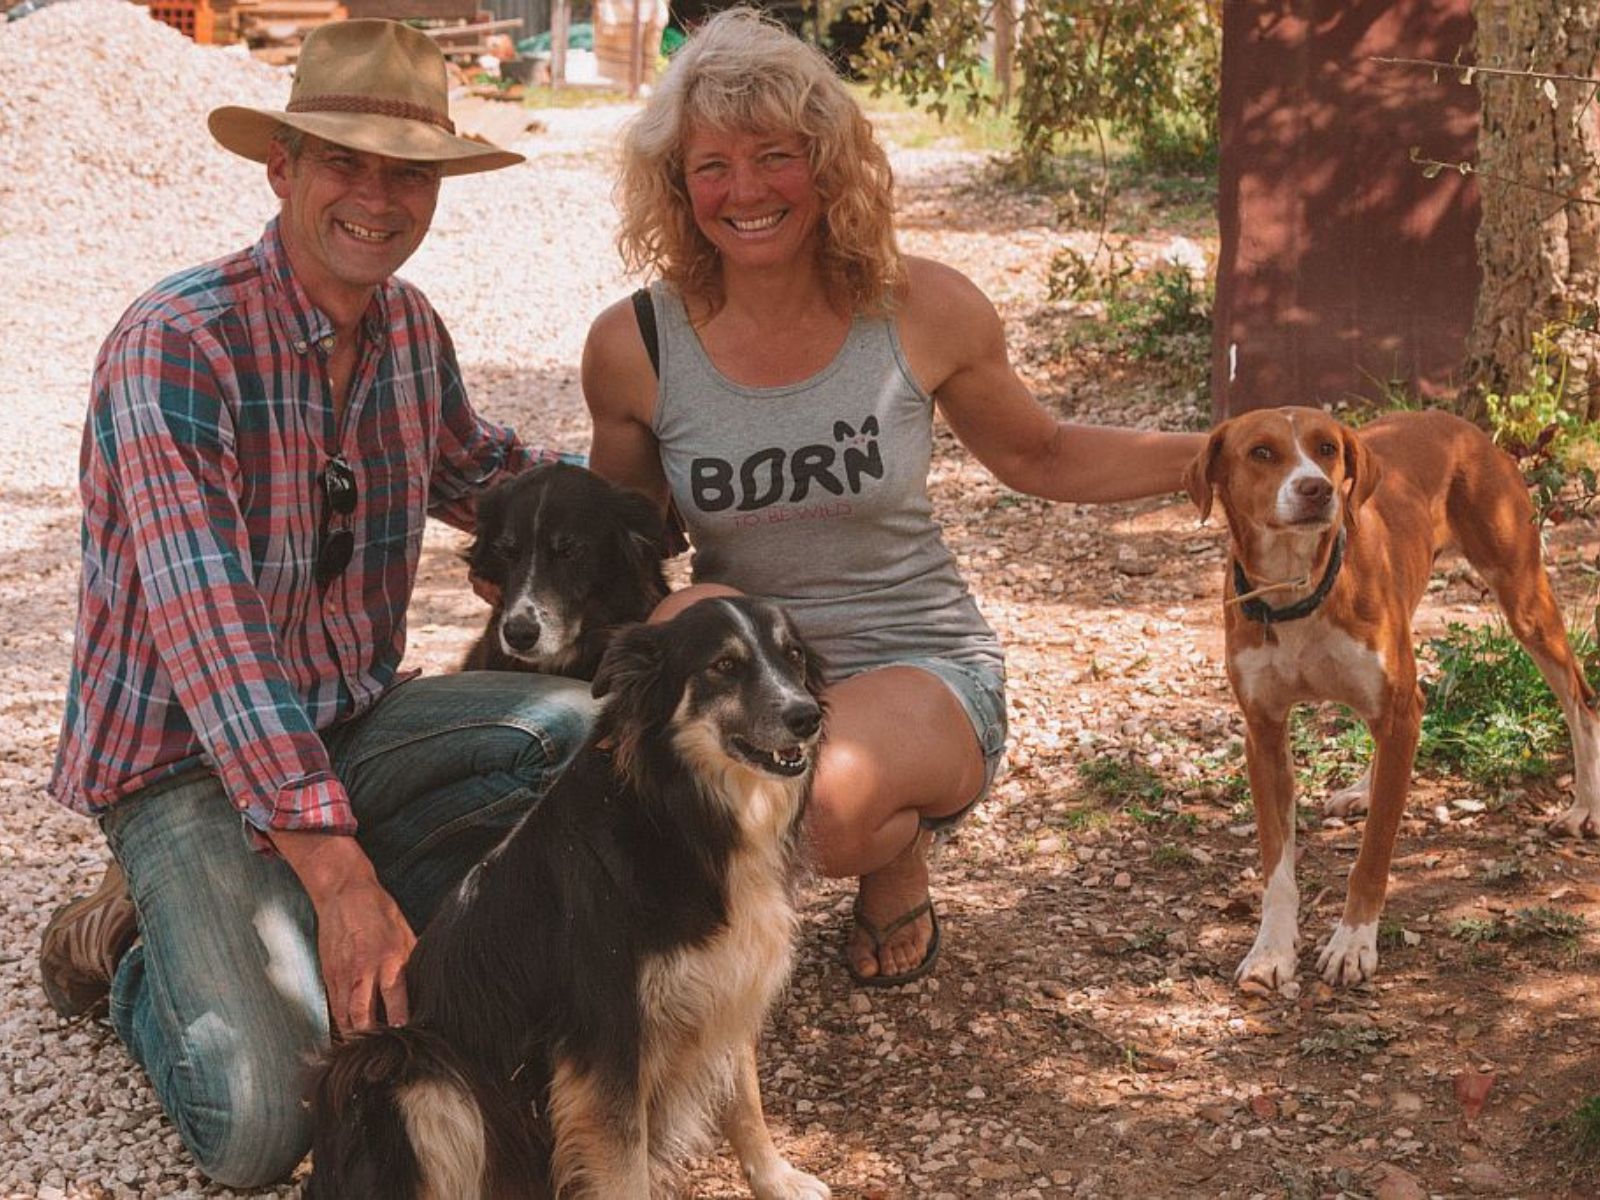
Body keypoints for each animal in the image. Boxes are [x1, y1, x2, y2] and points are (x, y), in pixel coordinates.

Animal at [306, 596, 833, 1200]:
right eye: (724, 665)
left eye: (794, 656)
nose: (806, 716)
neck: (677, 817)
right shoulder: (606, 1039)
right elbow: (623, 1167)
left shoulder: (733, 978)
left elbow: (745, 1097)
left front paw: (777, 1179)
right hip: (408, 1066)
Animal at [1185, 406, 1600, 991]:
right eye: (1261, 452)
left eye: (1327, 448)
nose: (1316, 488)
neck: (1297, 590)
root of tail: (1454, 420)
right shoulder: (1263, 731)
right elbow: (1276, 865)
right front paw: (1271, 951)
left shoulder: (1398, 713)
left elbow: (1374, 850)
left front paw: (1353, 943)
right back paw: (1366, 786)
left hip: (1522, 595)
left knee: (1578, 697)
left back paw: (1585, 804)